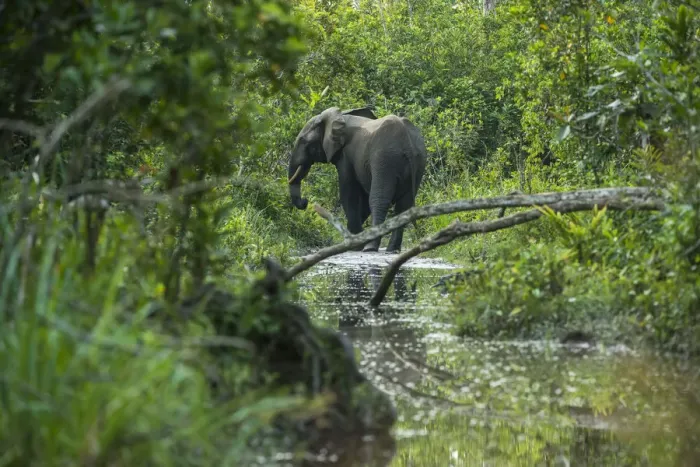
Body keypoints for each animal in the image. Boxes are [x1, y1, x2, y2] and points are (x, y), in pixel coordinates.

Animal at [288, 106, 427, 253]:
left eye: (303, 141)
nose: (305, 202)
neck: (341, 117)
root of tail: (407, 143)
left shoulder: (345, 155)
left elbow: (348, 193)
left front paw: (354, 245)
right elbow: (362, 199)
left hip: (384, 159)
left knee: (378, 200)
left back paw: (369, 248)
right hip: (419, 162)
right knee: (403, 206)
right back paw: (391, 249)